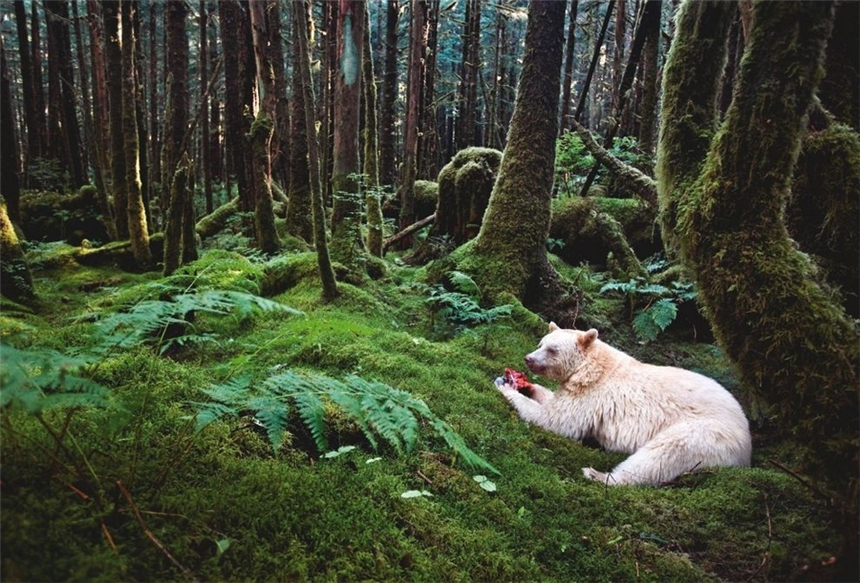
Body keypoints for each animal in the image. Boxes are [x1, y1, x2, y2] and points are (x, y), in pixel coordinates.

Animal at [494, 324, 748, 484]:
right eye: (540, 343)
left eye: (552, 349)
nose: (528, 358)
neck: (590, 366)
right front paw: (525, 385)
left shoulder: (593, 394)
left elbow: (558, 420)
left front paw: (506, 387)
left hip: (706, 434)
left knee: (662, 455)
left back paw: (599, 475)